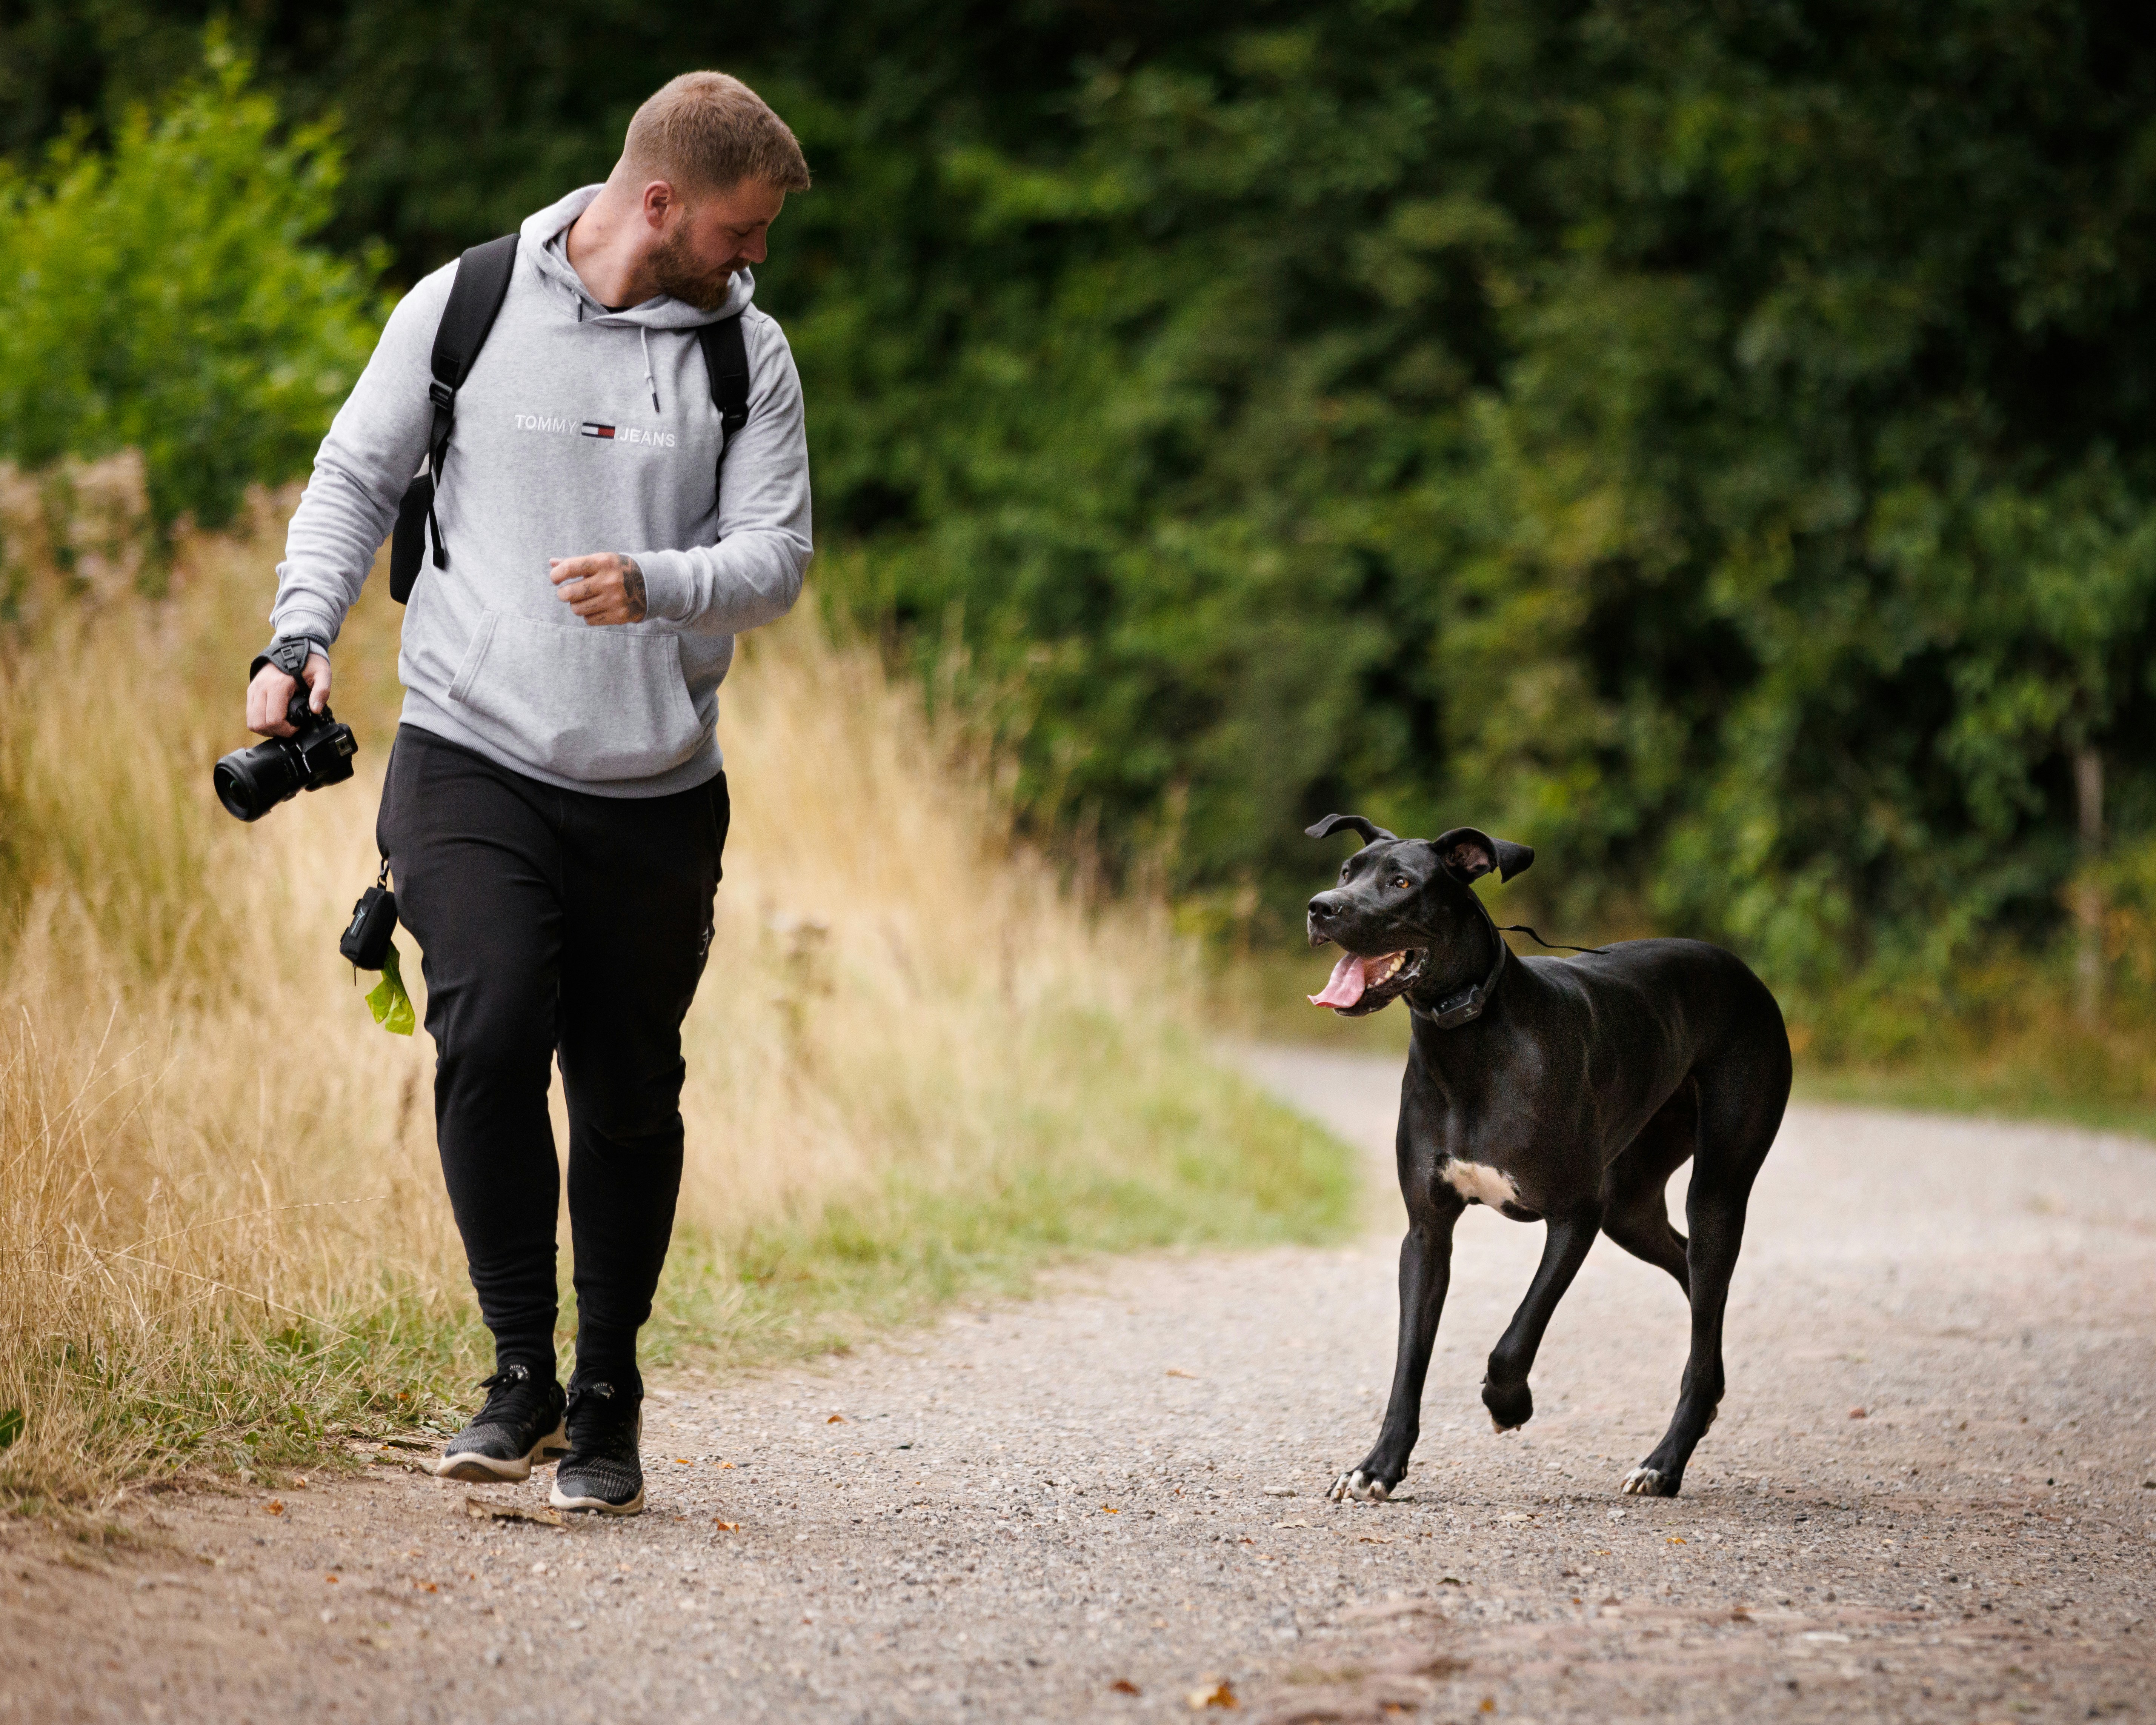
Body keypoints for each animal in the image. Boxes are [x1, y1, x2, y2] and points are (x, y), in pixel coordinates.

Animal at [1302, 811, 1794, 1492]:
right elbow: (1408, 1361)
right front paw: (1378, 1465)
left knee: (1704, 1277)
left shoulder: (1574, 1215)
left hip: (1714, 1186)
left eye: (1401, 881)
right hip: (1630, 1205)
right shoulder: (1426, 1233)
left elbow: (1514, 1337)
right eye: (1345, 872)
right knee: (1694, 1281)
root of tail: (1742, 972)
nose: (1321, 907)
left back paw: (1663, 1462)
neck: (1468, 1038)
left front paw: (1508, 1404)